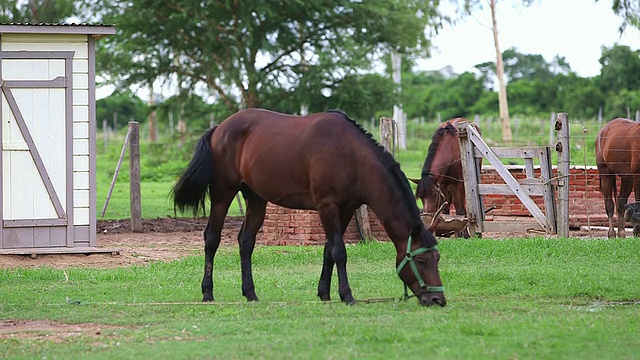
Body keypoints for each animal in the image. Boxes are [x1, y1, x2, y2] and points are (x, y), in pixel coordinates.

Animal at [172, 108, 448, 306]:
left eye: (437, 258)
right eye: (421, 260)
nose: (437, 299)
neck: (350, 157)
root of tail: (219, 128)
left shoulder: (346, 209)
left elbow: (328, 250)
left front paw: (324, 293)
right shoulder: (327, 206)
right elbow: (339, 251)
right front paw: (347, 295)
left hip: (256, 199)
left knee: (246, 242)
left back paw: (250, 293)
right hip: (223, 193)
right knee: (212, 238)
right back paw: (208, 293)